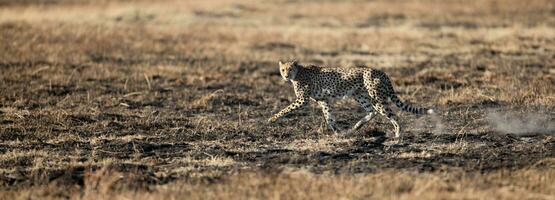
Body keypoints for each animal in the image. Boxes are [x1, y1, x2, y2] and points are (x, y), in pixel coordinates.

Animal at [268, 59, 434, 138]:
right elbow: (329, 117)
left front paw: (271, 119)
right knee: (372, 112)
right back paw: (356, 127)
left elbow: (285, 109)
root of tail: (381, 71)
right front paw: (338, 132)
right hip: (359, 95)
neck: (298, 72)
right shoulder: (323, 100)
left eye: (290, 69)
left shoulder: (303, 100)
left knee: (393, 115)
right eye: (282, 69)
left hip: (376, 97)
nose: (285, 75)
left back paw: (398, 135)